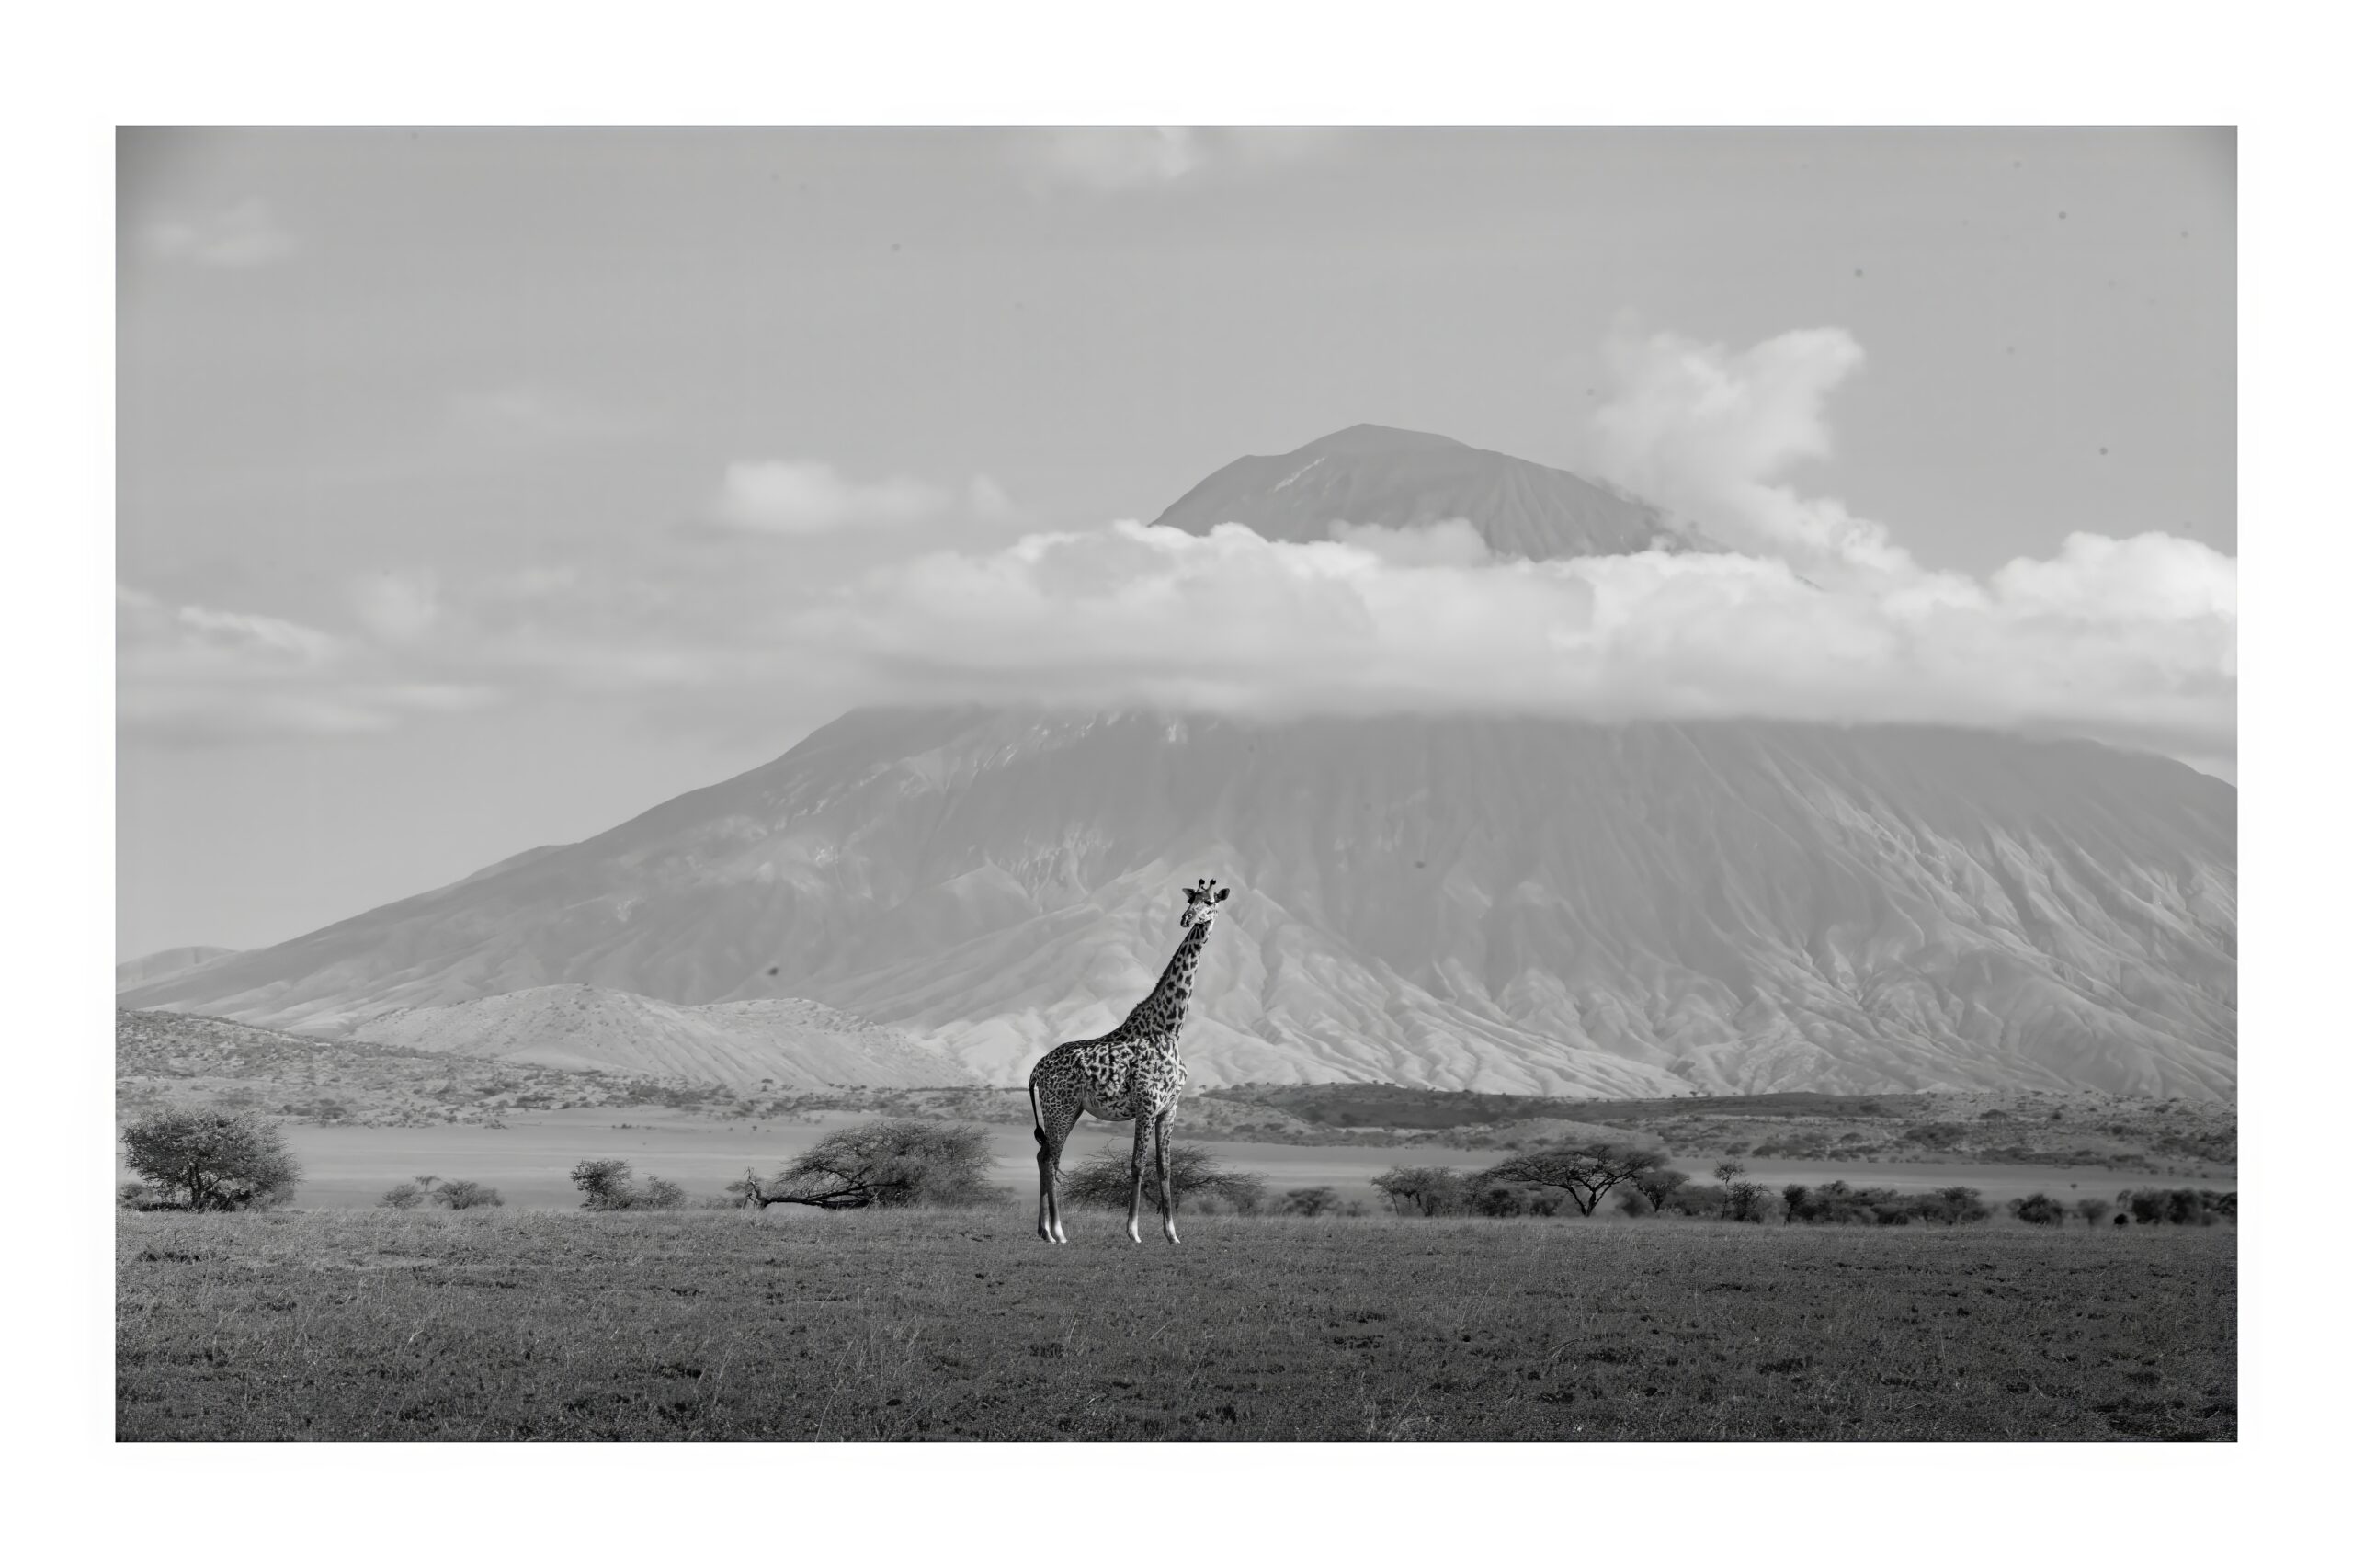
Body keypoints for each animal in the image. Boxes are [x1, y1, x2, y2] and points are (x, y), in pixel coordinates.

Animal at [1027, 876, 1230, 1245]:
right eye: (1191, 900)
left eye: (1209, 902)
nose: (1186, 919)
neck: (1170, 1029)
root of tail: (1036, 1069)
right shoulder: (1147, 1104)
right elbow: (1137, 1164)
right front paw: (1133, 1231)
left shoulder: (1169, 1108)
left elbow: (1166, 1168)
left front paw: (1172, 1234)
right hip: (1059, 1108)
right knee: (1051, 1159)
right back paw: (1059, 1232)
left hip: (1069, 1110)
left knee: (1042, 1155)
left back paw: (1044, 1231)